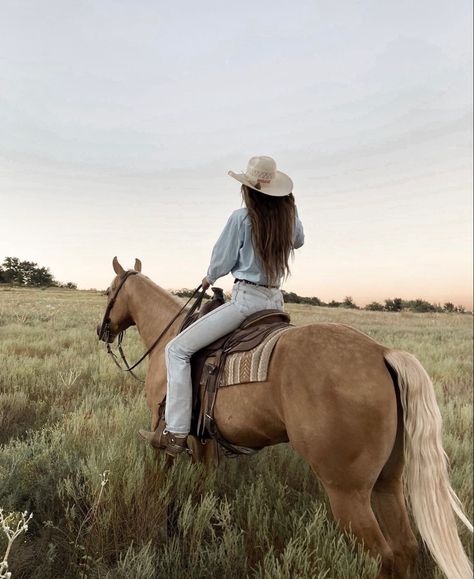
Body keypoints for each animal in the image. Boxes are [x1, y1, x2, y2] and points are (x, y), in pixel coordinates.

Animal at [98, 260, 472, 579]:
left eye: (109, 291)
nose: (103, 330)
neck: (170, 334)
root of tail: (383, 353)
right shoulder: (205, 442)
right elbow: (204, 486)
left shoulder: (165, 427)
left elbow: (163, 472)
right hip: (388, 482)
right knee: (405, 548)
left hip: (347, 492)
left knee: (384, 557)